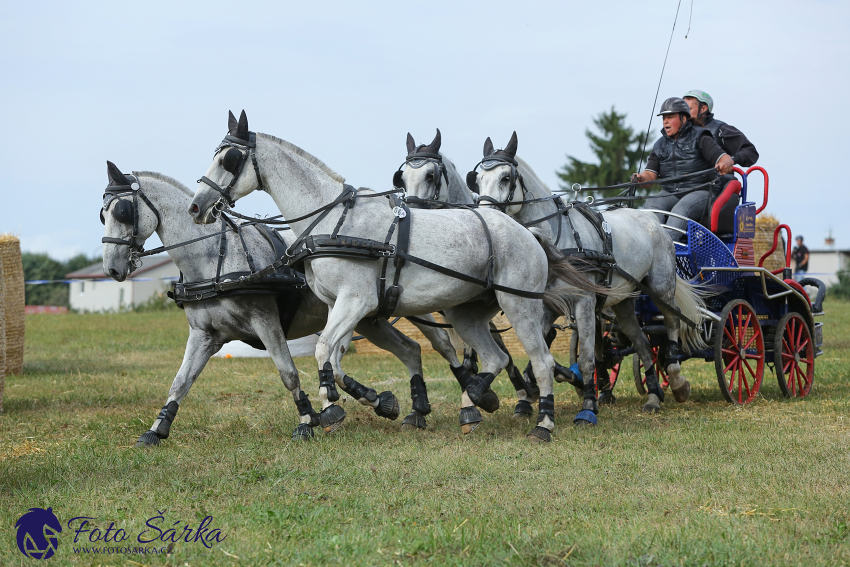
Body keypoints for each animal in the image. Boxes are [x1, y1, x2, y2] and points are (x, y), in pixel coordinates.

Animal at [100, 160, 470, 444]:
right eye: (102, 214)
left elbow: (289, 373)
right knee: (410, 350)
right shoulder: (203, 335)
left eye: (122, 210)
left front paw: (308, 421)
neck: (216, 261)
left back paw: (467, 395)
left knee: (444, 345)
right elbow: (180, 381)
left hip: (414, 305)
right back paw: (400, 406)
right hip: (370, 317)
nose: (112, 268)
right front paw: (157, 428)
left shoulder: (266, 323)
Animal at [186, 110, 608, 440]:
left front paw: (331, 406)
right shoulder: (343, 307)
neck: (334, 222)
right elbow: (334, 356)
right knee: (495, 357)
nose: (197, 206)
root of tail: (527, 232)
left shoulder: (357, 301)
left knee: (541, 360)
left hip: (520, 306)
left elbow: (324, 351)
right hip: (466, 313)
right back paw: (473, 403)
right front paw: (373, 401)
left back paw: (545, 422)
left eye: (230, 159)